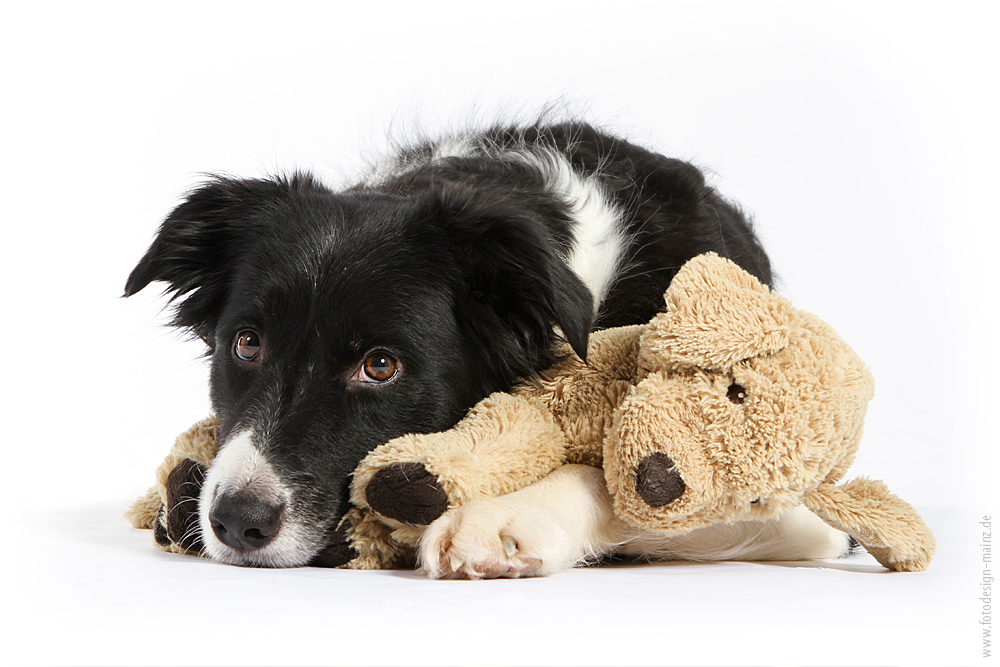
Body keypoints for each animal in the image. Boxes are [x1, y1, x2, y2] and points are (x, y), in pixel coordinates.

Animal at [123, 121, 844, 576]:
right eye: (247, 344)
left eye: (379, 366)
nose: (236, 521)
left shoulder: (792, 504)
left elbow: (623, 480)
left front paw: (507, 516)